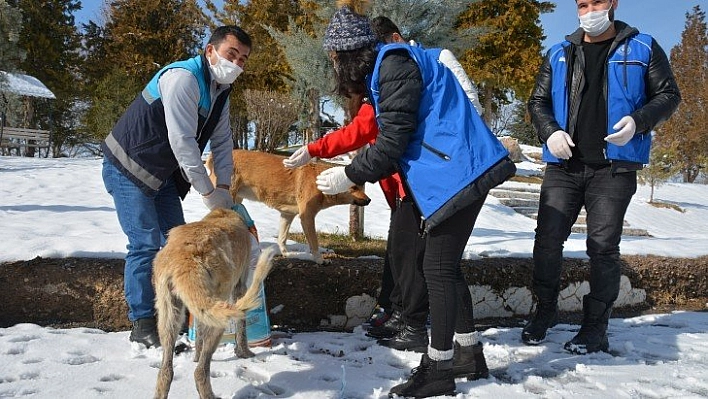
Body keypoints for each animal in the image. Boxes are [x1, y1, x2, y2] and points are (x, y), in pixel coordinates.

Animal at [152, 208, 274, 399]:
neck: (222, 212)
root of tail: (186, 258)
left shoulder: (199, 310)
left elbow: (199, 335)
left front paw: (195, 355)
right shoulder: (239, 286)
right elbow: (241, 328)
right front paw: (244, 353)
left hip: (169, 315)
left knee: (165, 373)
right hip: (218, 318)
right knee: (200, 372)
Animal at [205, 150, 370, 266]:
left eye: (362, 187)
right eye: (354, 187)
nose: (369, 200)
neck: (319, 181)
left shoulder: (287, 215)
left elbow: (282, 240)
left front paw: (288, 255)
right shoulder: (307, 217)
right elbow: (314, 243)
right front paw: (319, 259)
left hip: (237, 200)